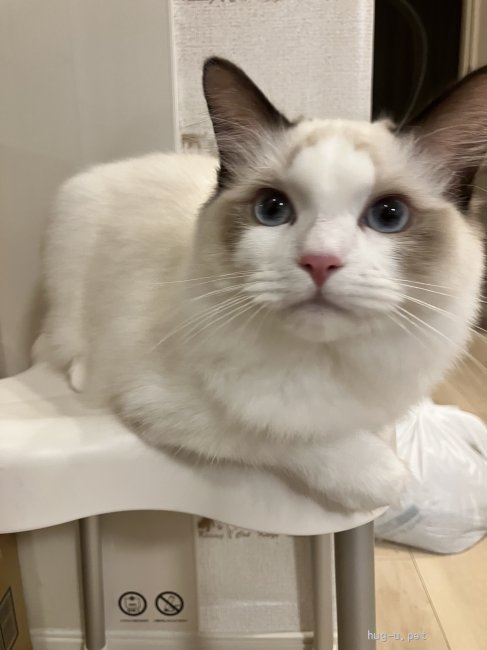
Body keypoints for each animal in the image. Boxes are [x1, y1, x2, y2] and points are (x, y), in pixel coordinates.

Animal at [38, 58, 486, 511]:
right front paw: (384, 478)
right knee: (57, 342)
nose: (319, 261)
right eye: (272, 209)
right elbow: (277, 432)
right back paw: (81, 372)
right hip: (73, 246)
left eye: (389, 215)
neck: (325, 361)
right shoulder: (165, 405)